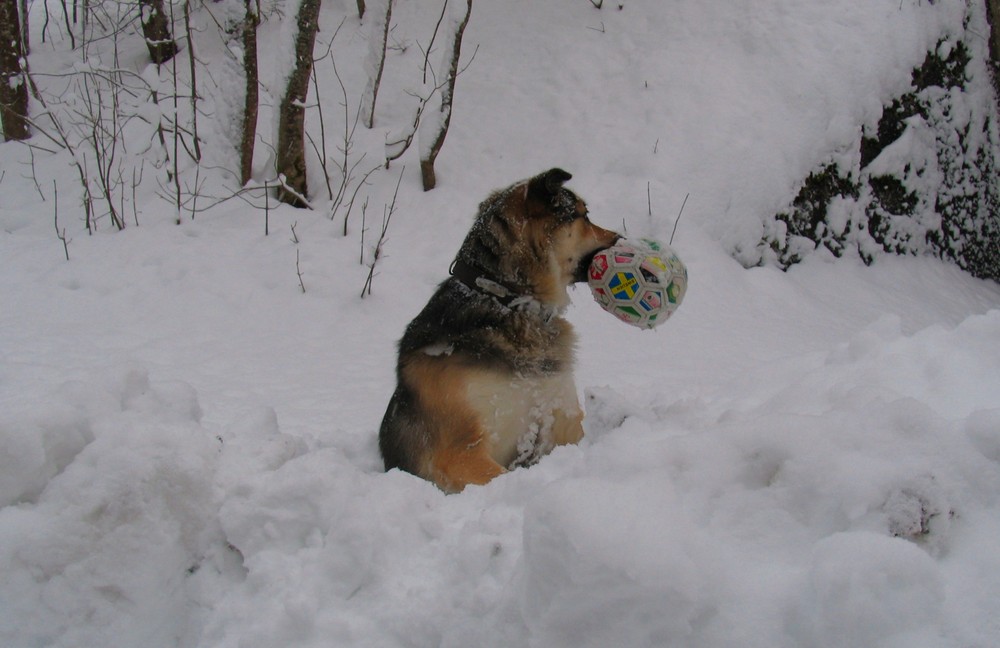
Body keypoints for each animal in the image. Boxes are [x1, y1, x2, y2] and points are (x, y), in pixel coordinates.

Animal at [378, 167, 620, 492]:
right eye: (583, 216)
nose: (622, 238)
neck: (508, 302)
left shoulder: (561, 419)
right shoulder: (460, 452)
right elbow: (500, 477)